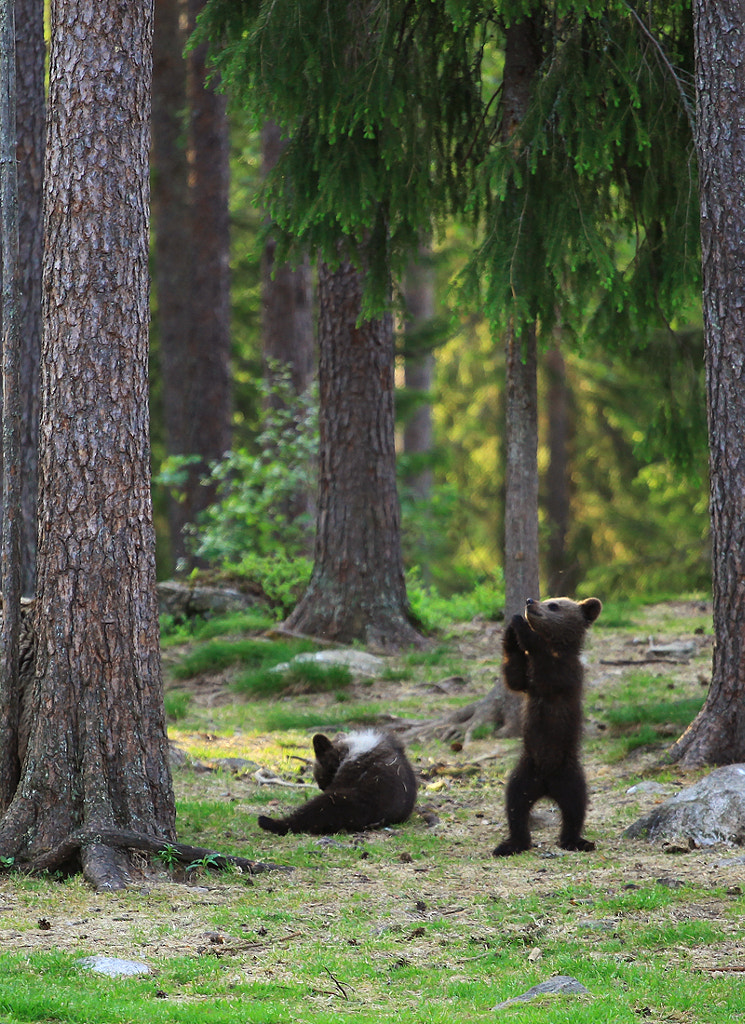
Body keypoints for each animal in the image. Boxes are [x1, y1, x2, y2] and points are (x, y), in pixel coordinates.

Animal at [492, 595, 602, 857]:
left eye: (554, 605)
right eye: (548, 599)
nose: (530, 600)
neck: (558, 648)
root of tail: (546, 786)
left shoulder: (564, 675)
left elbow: (546, 663)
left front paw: (522, 627)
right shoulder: (529, 684)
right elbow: (514, 677)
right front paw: (511, 631)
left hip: (569, 775)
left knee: (575, 808)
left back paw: (576, 841)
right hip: (525, 773)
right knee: (515, 805)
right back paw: (511, 844)